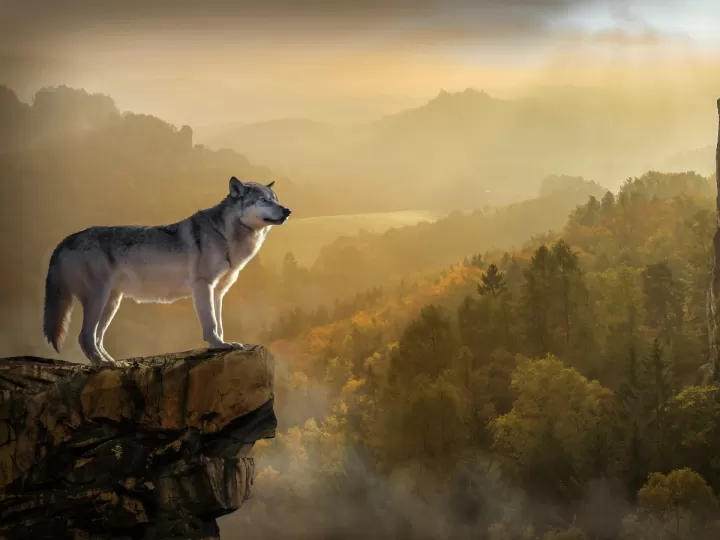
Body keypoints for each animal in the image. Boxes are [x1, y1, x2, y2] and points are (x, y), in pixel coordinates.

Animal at [42, 176, 291, 365]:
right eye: (263, 200)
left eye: (276, 200)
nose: (288, 210)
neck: (226, 235)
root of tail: (65, 240)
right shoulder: (203, 286)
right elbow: (210, 323)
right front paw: (218, 345)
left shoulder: (218, 291)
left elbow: (219, 324)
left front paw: (223, 344)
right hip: (99, 299)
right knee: (85, 337)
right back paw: (105, 365)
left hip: (112, 303)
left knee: (97, 337)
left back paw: (113, 362)